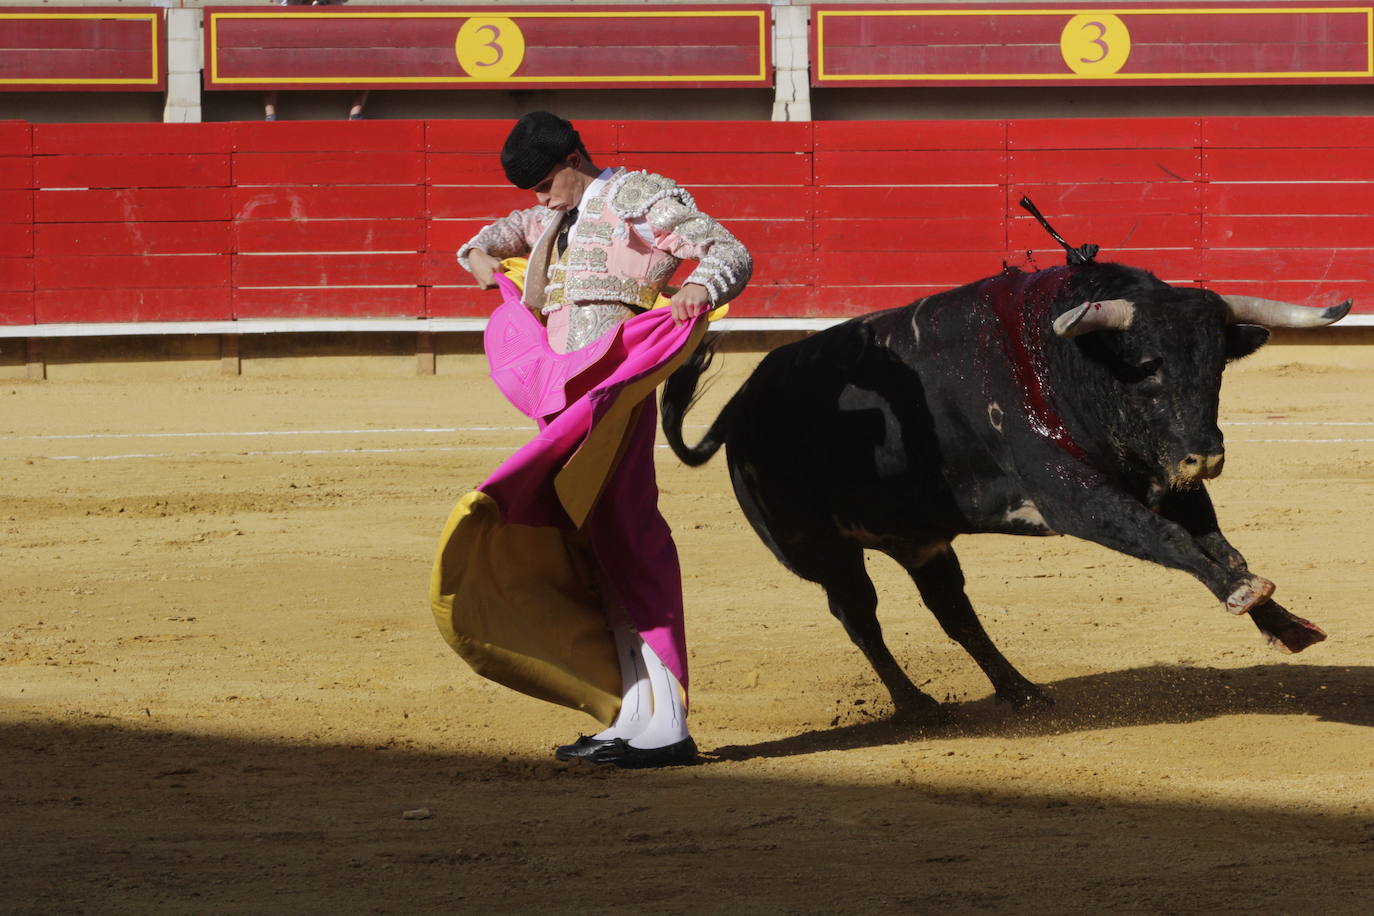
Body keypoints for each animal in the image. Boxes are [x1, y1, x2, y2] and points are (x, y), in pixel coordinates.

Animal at [659, 260, 1346, 714]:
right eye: (1149, 365)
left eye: (1218, 366)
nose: (1206, 456)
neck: (1071, 364)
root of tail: (742, 406)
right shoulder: (1076, 499)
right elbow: (1170, 538)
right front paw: (1243, 594)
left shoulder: (1163, 475)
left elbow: (1217, 544)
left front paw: (1283, 623)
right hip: (823, 552)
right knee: (859, 617)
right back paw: (918, 706)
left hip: (921, 541)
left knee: (953, 611)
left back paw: (1020, 690)